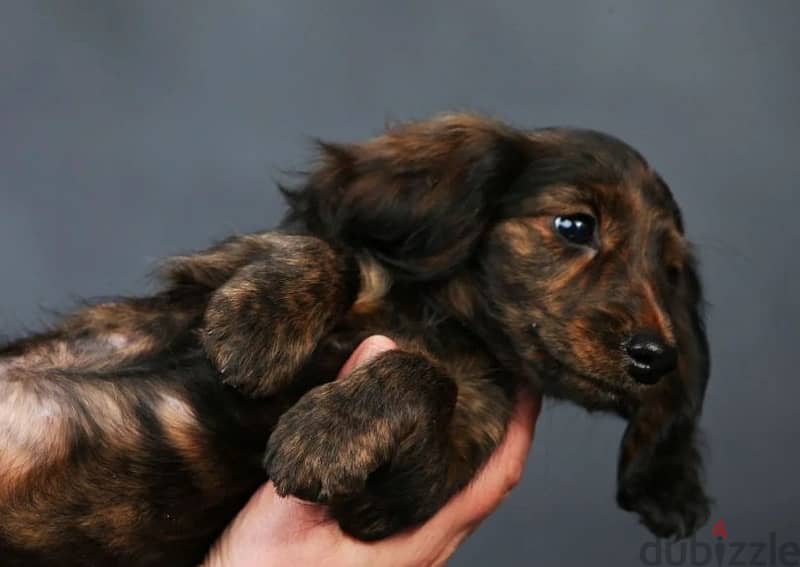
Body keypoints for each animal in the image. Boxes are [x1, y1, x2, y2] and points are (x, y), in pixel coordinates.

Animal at [0, 113, 712, 564]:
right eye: (575, 225)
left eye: (671, 271)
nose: (656, 358)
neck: (442, 325)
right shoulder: (195, 284)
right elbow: (328, 251)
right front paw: (259, 328)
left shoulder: (408, 493)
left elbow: (424, 376)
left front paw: (329, 432)